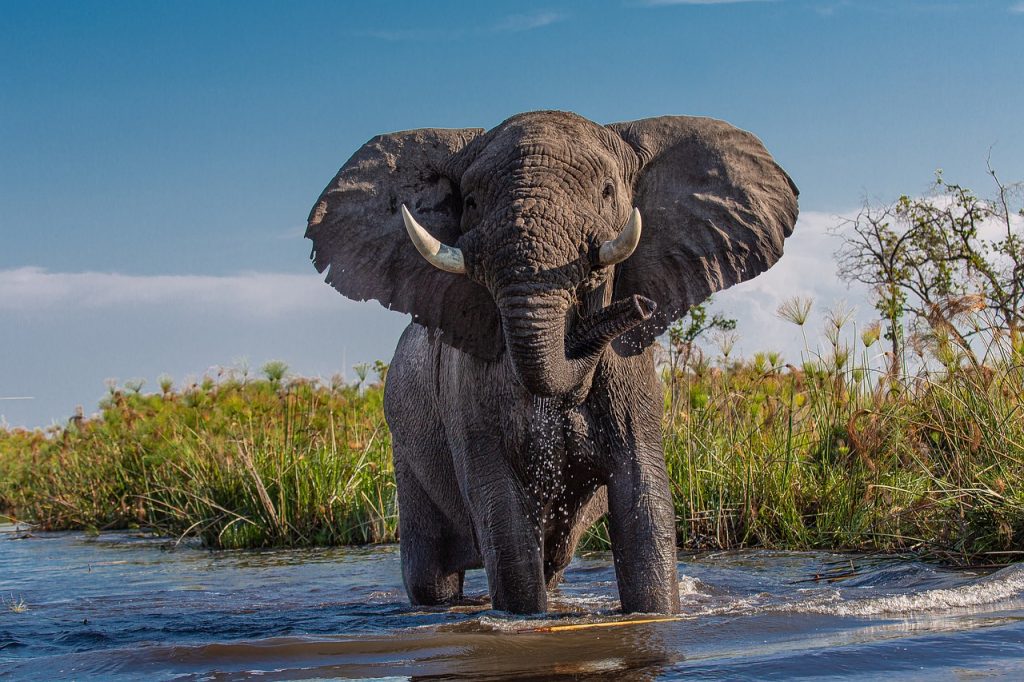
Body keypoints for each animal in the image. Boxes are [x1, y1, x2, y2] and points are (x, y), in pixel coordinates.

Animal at [306, 111, 798, 614]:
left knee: (551, 563)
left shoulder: (633, 380)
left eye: (607, 191)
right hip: (405, 446)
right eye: (471, 201)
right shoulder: (468, 390)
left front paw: (655, 615)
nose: (640, 306)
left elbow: (645, 502)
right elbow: (503, 516)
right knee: (432, 576)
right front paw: (523, 620)